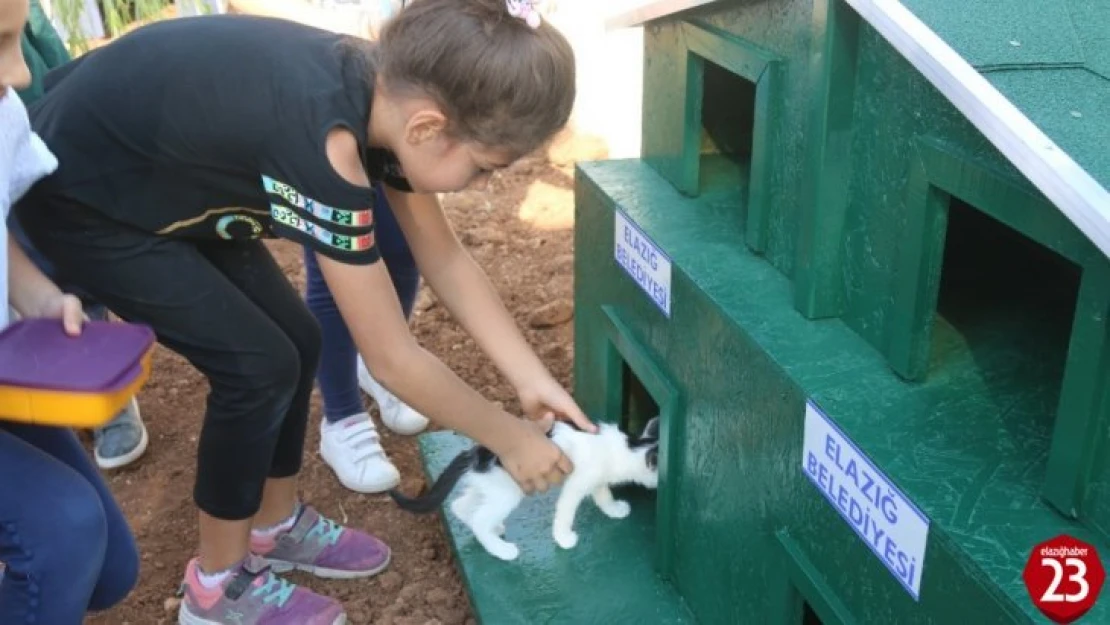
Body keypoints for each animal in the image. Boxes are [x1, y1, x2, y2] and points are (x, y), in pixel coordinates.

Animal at [390, 417, 657, 559]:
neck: (626, 447)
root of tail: (476, 453)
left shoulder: (597, 480)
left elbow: (603, 495)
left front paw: (614, 509)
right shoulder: (577, 483)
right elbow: (565, 512)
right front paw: (563, 538)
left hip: (490, 486)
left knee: (460, 506)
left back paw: (491, 527)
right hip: (507, 492)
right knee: (479, 520)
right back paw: (500, 549)